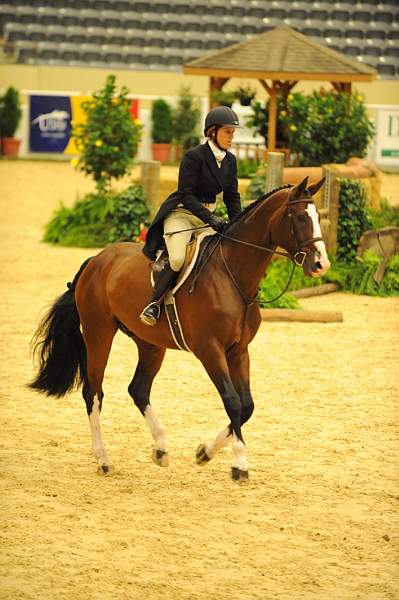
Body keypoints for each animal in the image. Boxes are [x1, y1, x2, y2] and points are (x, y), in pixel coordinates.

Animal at [29, 176, 332, 480]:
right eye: (300, 217)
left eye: (318, 217)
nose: (321, 264)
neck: (232, 276)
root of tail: (95, 260)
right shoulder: (210, 350)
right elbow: (232, 401)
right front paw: (239, 465)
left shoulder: (238, 350)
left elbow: (246, 406)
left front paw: (205, 452)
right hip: (98, 334)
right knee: (93, 392)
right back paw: (103, 459)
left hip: (150, 344)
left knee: (138, 389)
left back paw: (161, 448)